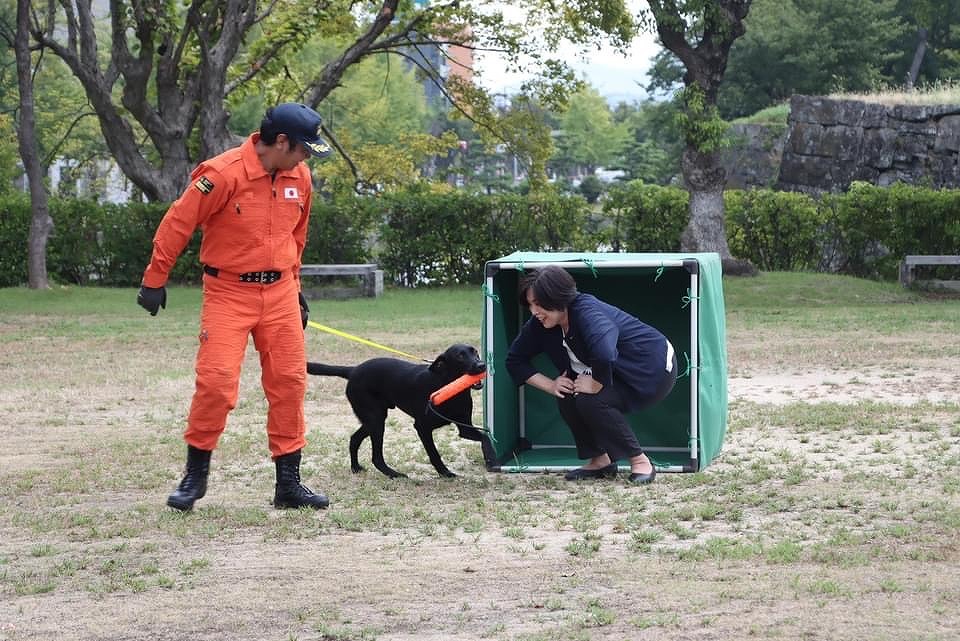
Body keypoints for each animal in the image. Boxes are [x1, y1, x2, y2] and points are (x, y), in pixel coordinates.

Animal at [308, 344, 488, 476]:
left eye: (475, 351)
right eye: (460, 356)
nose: (482, 365)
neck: (445, 385)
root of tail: (352, 370)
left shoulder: (465, 428)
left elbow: (486, 438)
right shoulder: (422, 427)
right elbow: (434, 453)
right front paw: (445, 473)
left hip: (374, 419)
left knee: (354, 439)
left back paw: (356, 468)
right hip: (375, 420)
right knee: (376, 457)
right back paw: (394, 474)